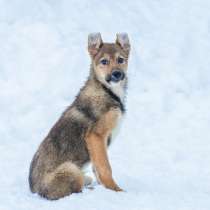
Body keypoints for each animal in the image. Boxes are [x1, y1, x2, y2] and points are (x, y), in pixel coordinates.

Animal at [28, 33, 130, 200]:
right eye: (104, 62)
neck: (106, 90)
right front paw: (117, 191)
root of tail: (34, 191)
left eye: (121, 60)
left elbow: (98, 168)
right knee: (74, 189)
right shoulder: (95, 136)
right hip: (71, 169)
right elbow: (105, 168)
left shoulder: (98, 145)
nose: (117, 74)